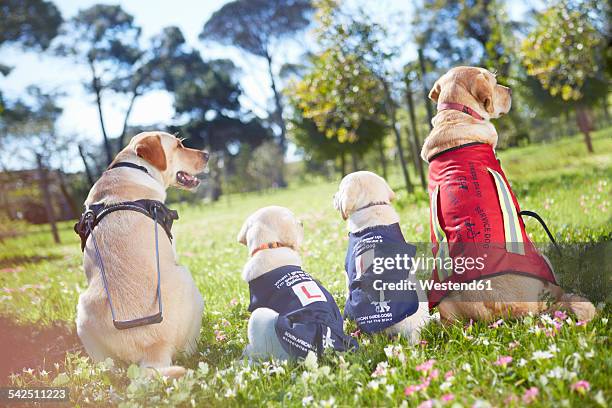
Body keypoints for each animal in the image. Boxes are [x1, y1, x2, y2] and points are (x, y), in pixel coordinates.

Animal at [75, 132, 209, 378]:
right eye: (179, 145)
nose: (207, 155)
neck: (135, 167)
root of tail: (153, 350)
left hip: (81, 314)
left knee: (109, 368)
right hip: (188, 280)